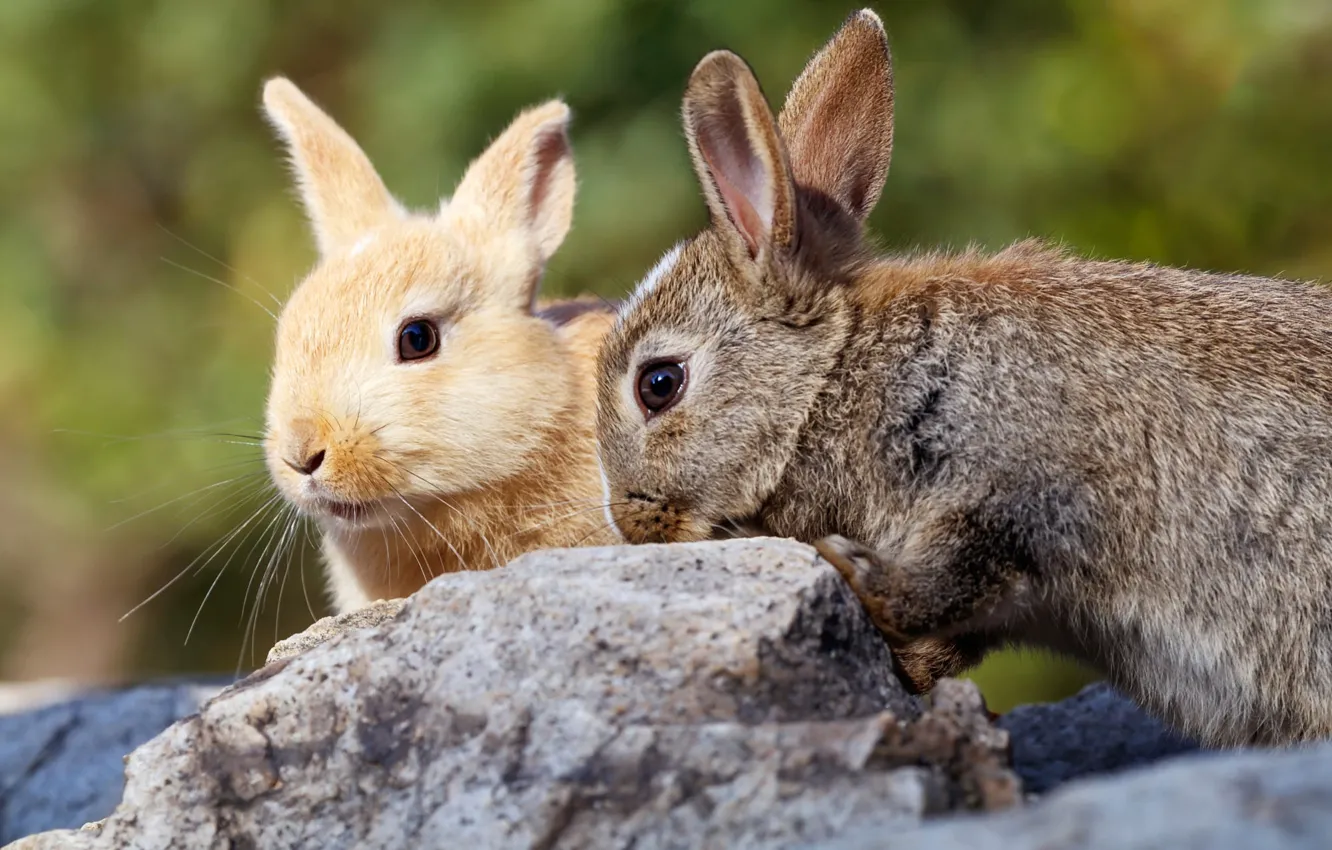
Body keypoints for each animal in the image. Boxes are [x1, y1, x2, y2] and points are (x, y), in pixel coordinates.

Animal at [593, 8, 1332, 748]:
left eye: (659, 383)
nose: (629, 521)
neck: (831, 379)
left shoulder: (1017, 488)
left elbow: (954, 576)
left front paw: (851, 569)